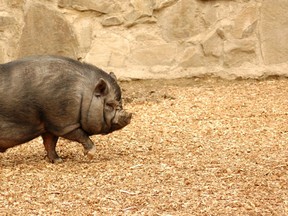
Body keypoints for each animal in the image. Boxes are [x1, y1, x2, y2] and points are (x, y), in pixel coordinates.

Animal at [0, 55, 132, 162]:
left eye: (120, 102)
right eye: (109, 104)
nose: (129, 116)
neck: (83, 95)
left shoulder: (49, 125)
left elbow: (50, 143)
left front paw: (58, 161)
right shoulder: (64, 123)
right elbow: (81, 135)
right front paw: (90, 155)